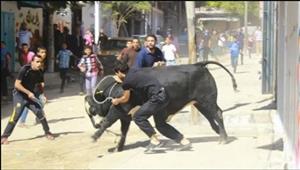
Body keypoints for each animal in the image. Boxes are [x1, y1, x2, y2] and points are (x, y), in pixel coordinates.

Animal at [84, 60, 237, 151]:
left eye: (92, 104)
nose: (92, 113)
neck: (114, 89)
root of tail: (198, 64)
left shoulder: (117, 110)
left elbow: (107, 122)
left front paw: (94, 137)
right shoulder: (125, 117)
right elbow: (123, 132)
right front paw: (118, 147)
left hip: (207, 100)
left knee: (217, 114)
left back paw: (223, 138)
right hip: (199, 103)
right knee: (210, 117)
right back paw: (219, 135)